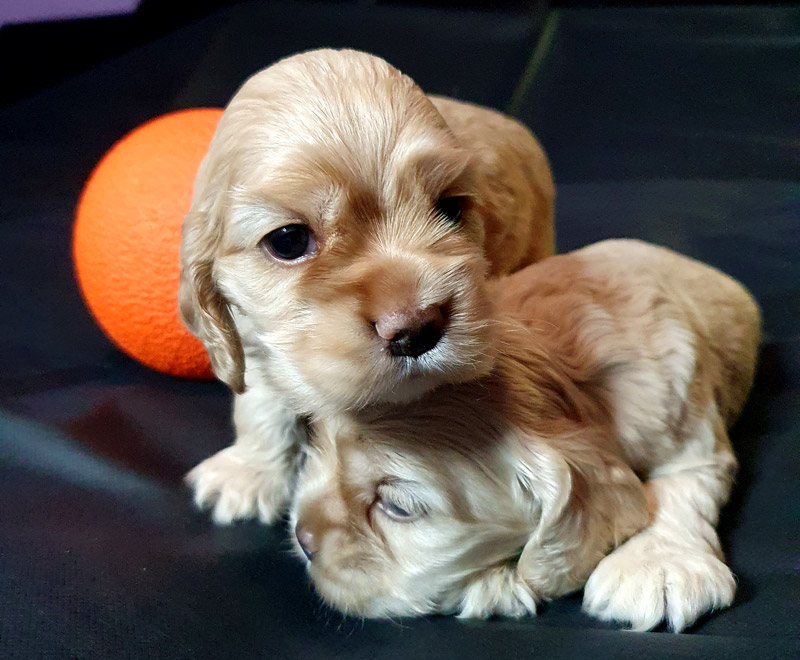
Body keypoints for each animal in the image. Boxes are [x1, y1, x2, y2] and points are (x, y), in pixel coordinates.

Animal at [180, 49, 556, 524]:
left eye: (451, 209)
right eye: (288, 240)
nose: (416, 329)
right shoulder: (255, 334)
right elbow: (260, 401)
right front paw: (249, 473)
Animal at [290, 240, 760, 632]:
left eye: (398, 507)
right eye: (316, 442)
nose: (302, 539)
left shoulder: (688, 429)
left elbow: (679, 487)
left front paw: (658, 565)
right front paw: (493, 583)